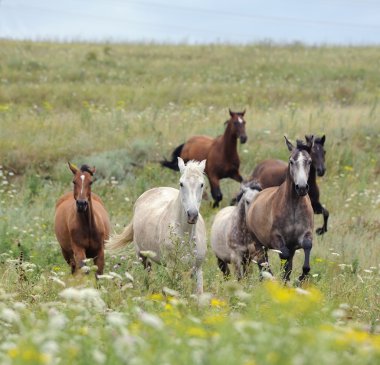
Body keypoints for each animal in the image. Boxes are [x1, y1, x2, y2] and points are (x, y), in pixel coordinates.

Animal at [107, 156, 206, 292]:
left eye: (201, 184)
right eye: (181, 184)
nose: (192, 215)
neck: (186, 236)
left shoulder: (198, 268)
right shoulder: (171, 267)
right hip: (142, 256)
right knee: (147, 275)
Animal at [246, 136, 314, 282]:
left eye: (310, 161)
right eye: (291, 161)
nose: (301, 187)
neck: (294, 207)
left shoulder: (304, 236)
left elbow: (306, 248)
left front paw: (301, 278)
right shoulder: (276, 238)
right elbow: (284, 256)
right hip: (258, 243)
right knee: (262, 262)